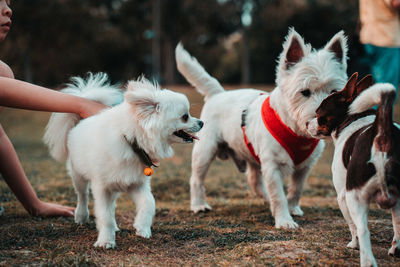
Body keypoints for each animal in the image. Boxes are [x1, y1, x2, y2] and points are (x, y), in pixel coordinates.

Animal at [44, 73, 203, 249]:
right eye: (185, 117)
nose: (201, 122)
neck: (131, 142)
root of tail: (80, 120)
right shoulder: (101, 188)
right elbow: (104, 215)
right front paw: (105, 241)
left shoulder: (137, 184)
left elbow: (149, 203)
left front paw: (142, 228)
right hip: (78, 175)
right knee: (82, 195)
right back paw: (81, 216)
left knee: (112, 204)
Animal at [177, 29, 348, 230]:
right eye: (305, 92)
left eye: (333, 92)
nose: (323, 117)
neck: (295, 131)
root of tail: (218, 94)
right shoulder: (272, 166)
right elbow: (278, 195)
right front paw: (284, 220)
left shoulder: (305, 167)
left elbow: (296, 189)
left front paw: (292, 208)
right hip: (205, 150)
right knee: (197, 178)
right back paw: (199, 205)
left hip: (252, 156)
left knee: (254, 181)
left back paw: (266, 200)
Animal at [308, 72, 398, 266]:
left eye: (318, 113)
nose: (306, 123)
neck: (354, 119)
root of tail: (381, 135)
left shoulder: (342, 196)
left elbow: (353, 226)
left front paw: (353, 245)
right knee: (398, 224)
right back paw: (395, 249)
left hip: (354, 196)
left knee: (364, 230)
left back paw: (367, 260)